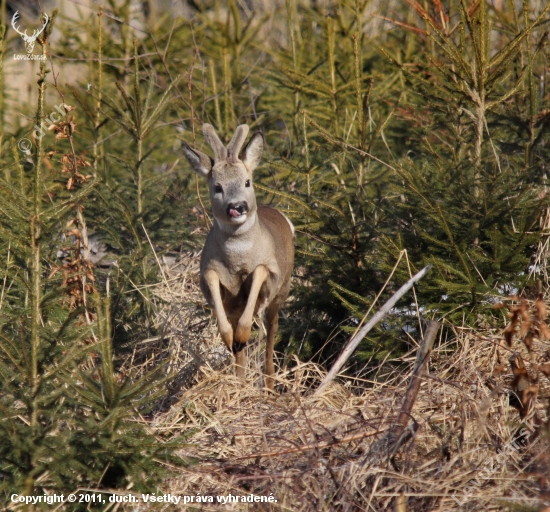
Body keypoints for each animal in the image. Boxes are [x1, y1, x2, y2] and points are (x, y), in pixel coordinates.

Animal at [182, 124, 296, 388]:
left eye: (247, 181)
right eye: (217, 187)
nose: (238, 206)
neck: (237, 255)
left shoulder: (270, 271)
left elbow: (259, 271)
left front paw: (242, 335)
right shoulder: (208, 272)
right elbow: (213, 281)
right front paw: (229, 339)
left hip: (281, 292)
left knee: (271, 331)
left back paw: (269, 383)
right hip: (237, 306)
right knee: (241, 353)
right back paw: (241, 382)